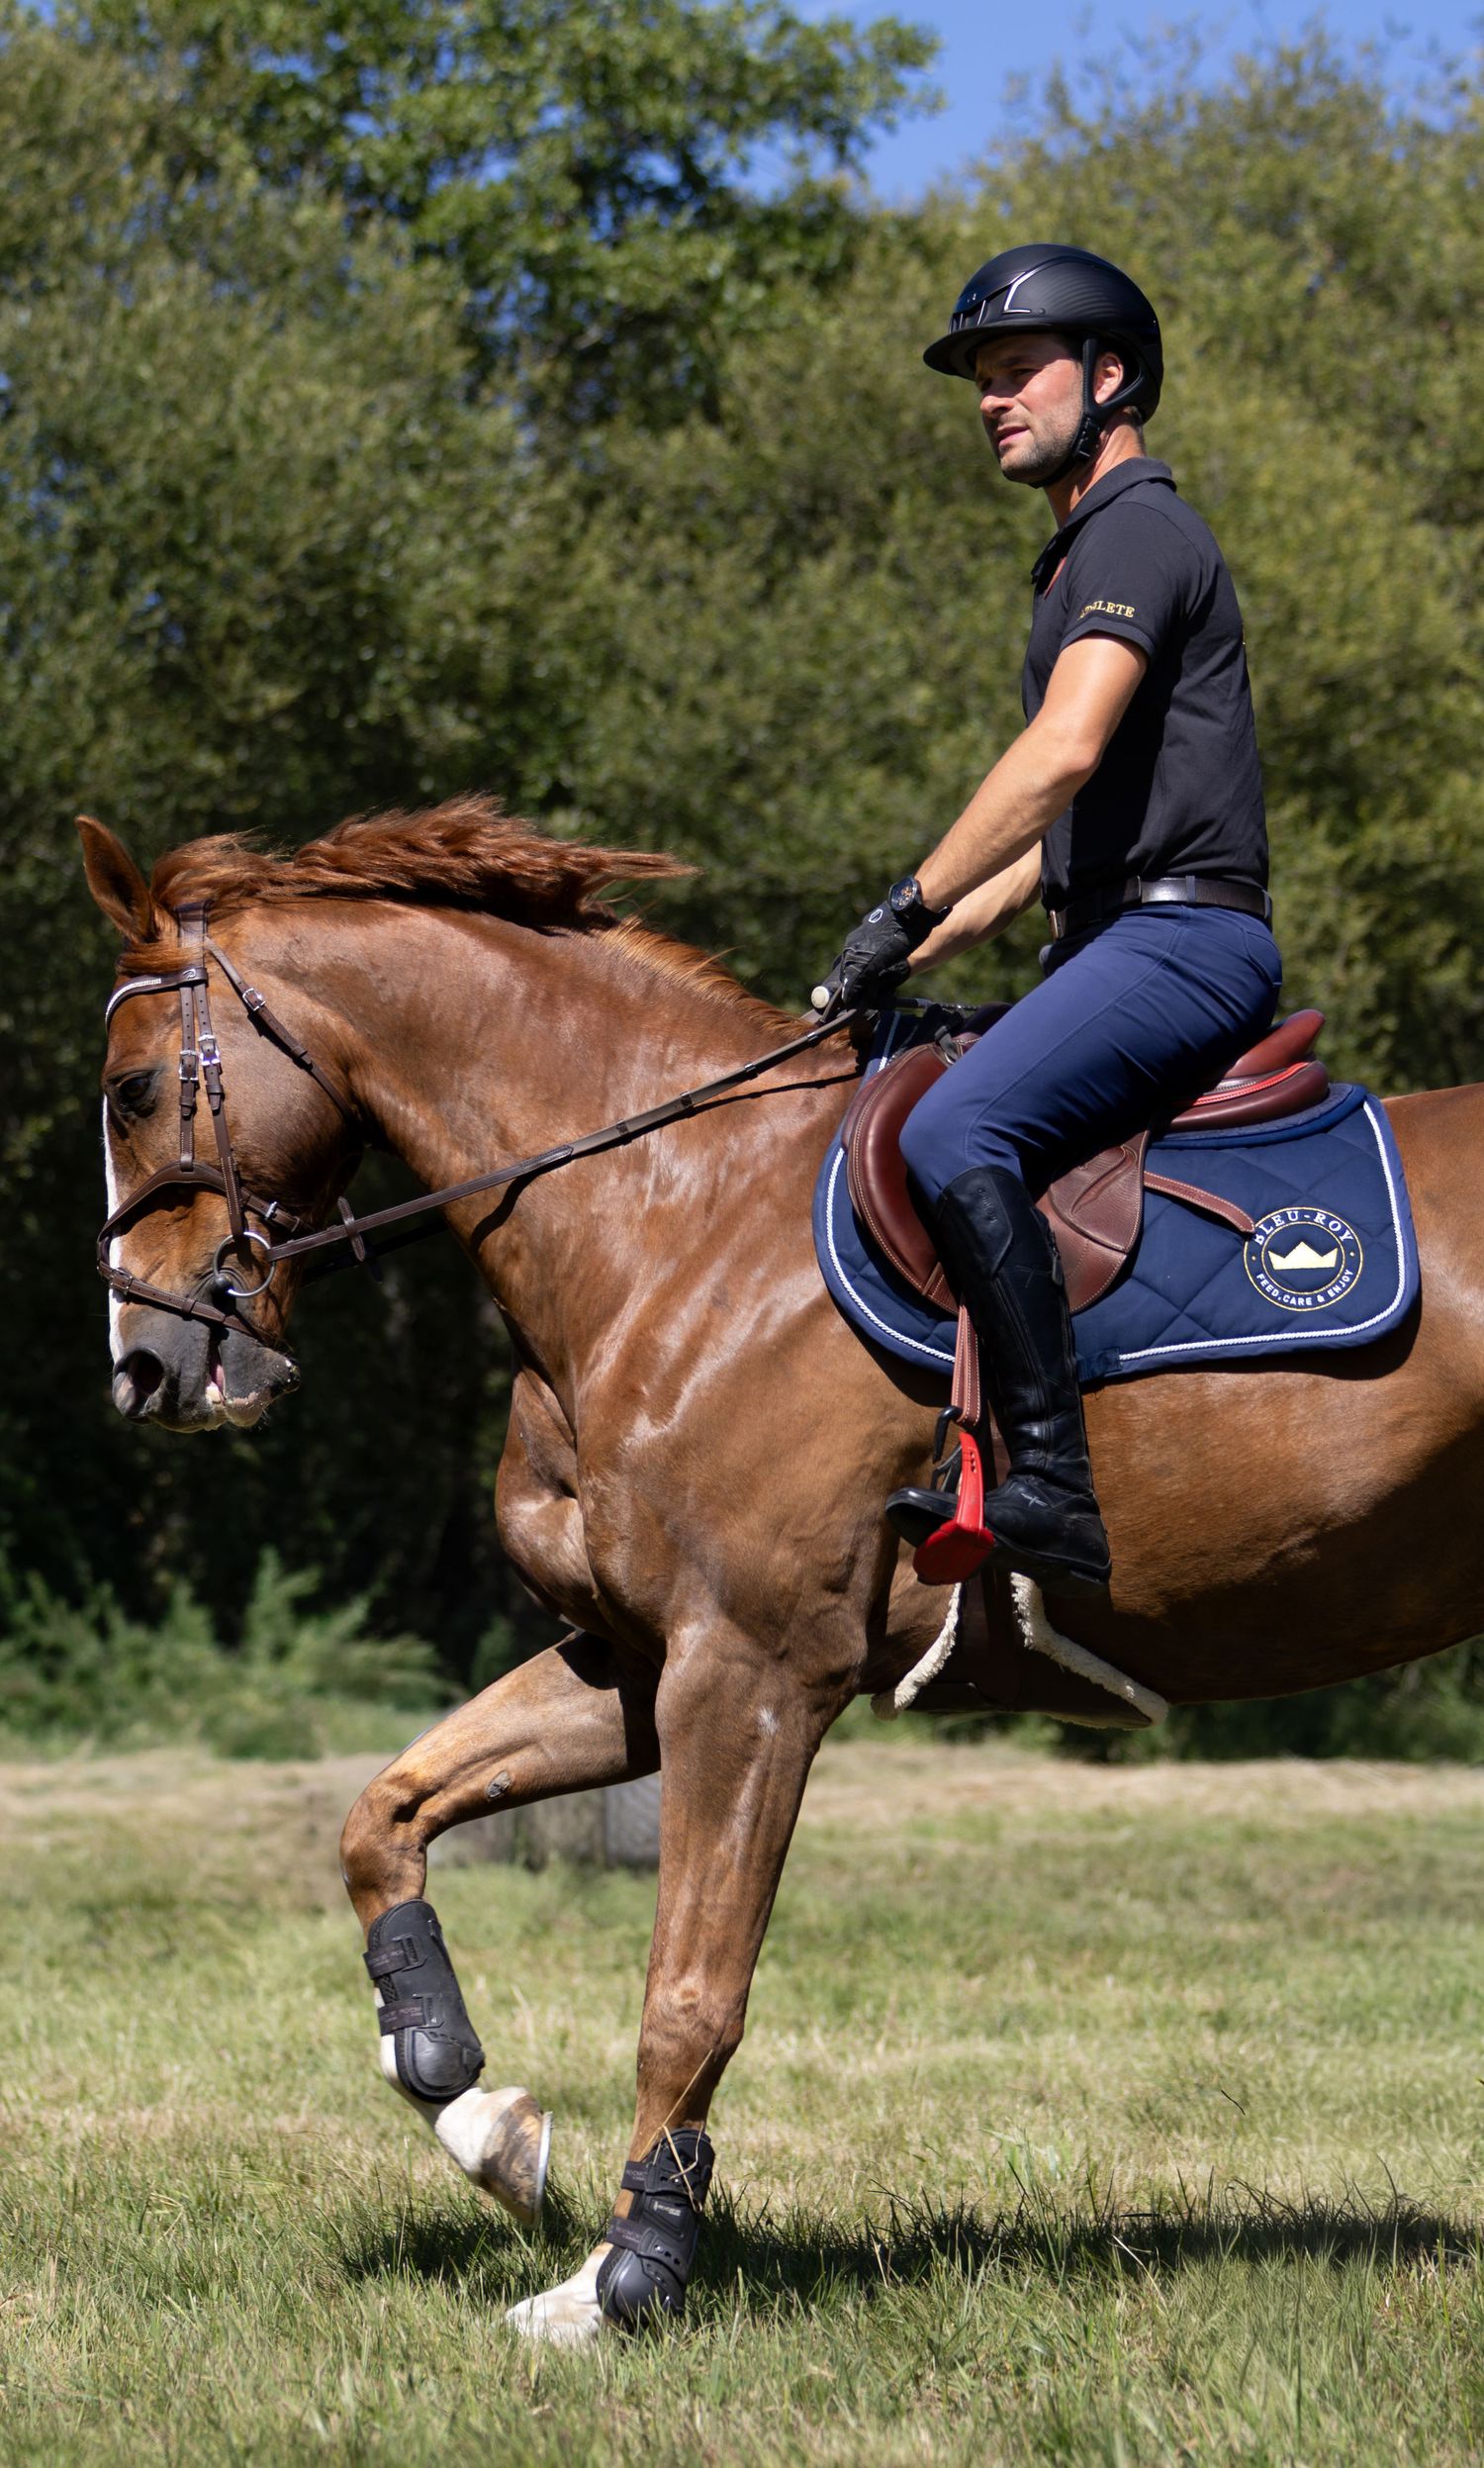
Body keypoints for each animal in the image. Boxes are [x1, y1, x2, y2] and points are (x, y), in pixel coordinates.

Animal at [82, 796, 1484, 2343]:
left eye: (132, 1090)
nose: (147, 1365)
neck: (664, 1215)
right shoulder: (638, 1661)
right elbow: (384, 1813)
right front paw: (474, 2107)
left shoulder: (750, 1674)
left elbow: (691, 1989)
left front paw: (622, 2276)